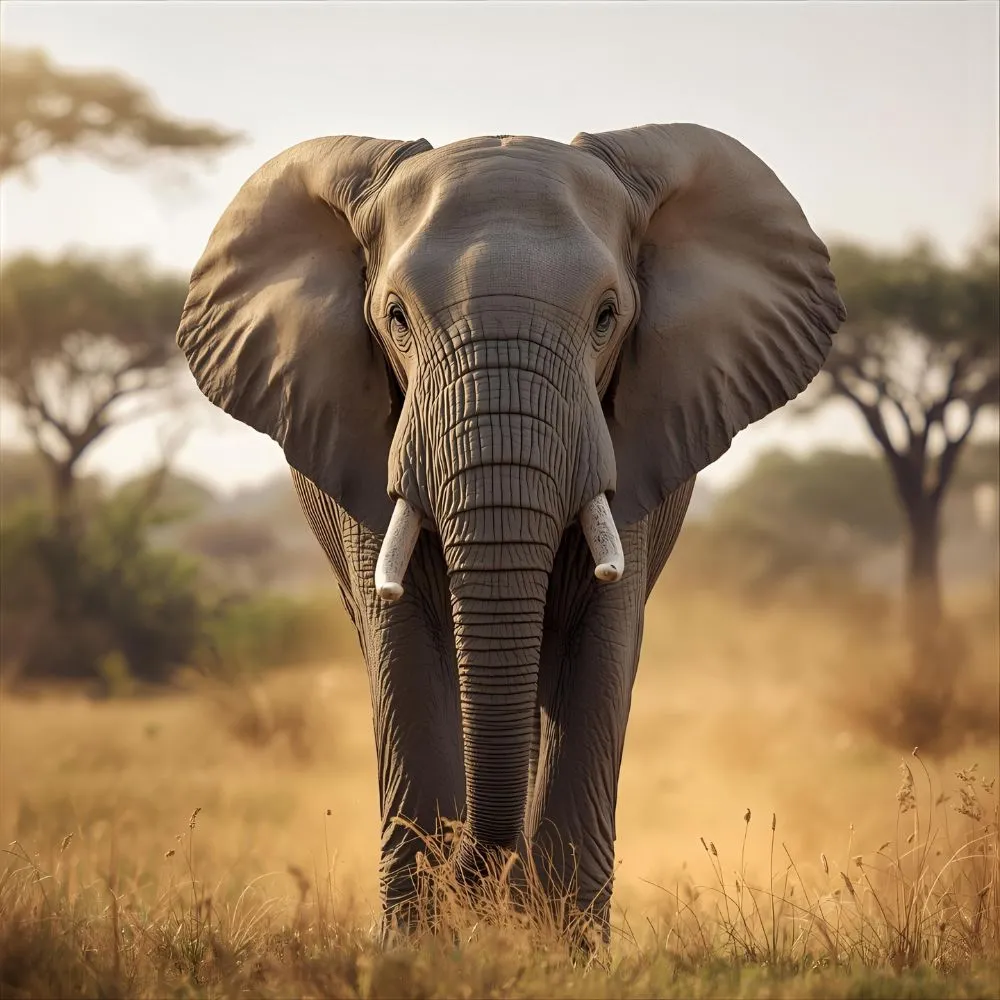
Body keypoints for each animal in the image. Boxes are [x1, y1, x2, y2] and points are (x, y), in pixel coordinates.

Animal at [175, 123, 845, 938]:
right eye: (396, 317)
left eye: (607, 316)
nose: (477, 868)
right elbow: (406, 650)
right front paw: (414, 945)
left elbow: (599, 644)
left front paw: (557, 945)